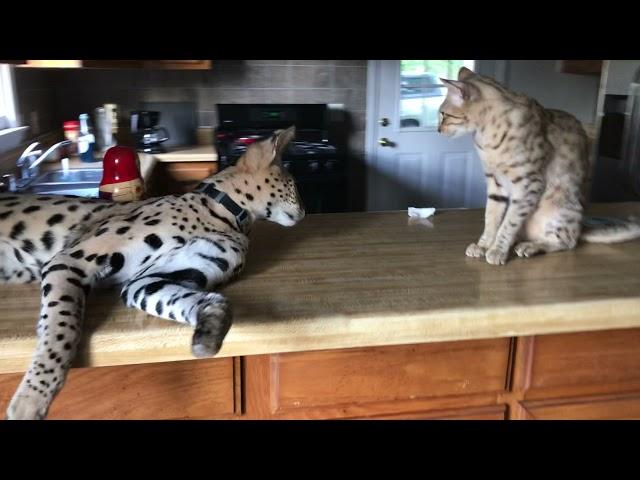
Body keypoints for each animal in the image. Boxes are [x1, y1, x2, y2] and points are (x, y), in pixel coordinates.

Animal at [1, 125, 304, 418]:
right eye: (293, 184)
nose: (303, 212)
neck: (224, 215)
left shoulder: (147, 280)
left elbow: (201, 301)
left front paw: (209, 332)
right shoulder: (68, 261)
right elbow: (61, 329)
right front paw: (32, 396)